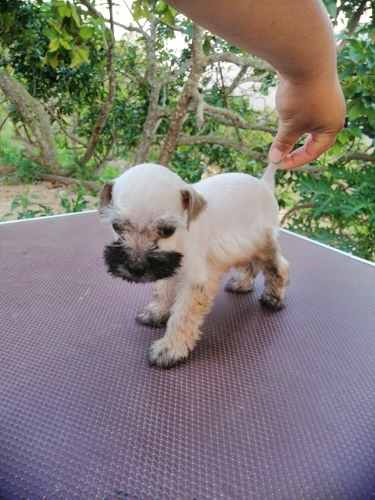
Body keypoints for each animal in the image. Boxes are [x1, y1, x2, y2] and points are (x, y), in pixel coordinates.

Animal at [99, 163, 288, 368]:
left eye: (167, 230)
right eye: (116, 226)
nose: (136, 268)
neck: (182, 237)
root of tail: (264, 184)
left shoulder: (195, 282)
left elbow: (182, 316)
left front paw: (170, 348)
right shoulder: (171, 267)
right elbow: (163, 291)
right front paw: (157, 312)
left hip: (263, 243)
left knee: (279, 267)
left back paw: (273, 298)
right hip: (244, 246)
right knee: (250, 264)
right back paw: (242, 283)